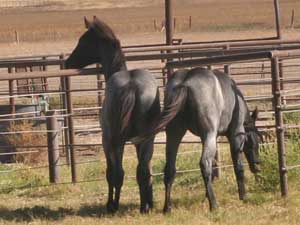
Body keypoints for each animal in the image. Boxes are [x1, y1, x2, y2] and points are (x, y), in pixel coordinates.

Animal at [64, 16, 161, 214]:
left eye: (82, 41)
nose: (68, 62)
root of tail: (132, 86)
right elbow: (144, 171)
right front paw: (147, 201)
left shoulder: (107, 141)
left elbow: (112, 173)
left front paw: (111, 204)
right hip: (146, 139)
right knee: (142, 171)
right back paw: (144, 206)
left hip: (113, 140)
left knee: (118, 173)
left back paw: (114, 206)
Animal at [132, 67, 262, 212]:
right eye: (255, 140)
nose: (257, 166)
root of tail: (185, 83)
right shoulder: (234, 136)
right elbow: (238, 166)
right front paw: (243, 195)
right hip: (208, 135)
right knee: (204, 164)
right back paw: (214, 204)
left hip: (174, 134)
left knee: (170, 168)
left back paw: (168, 208)